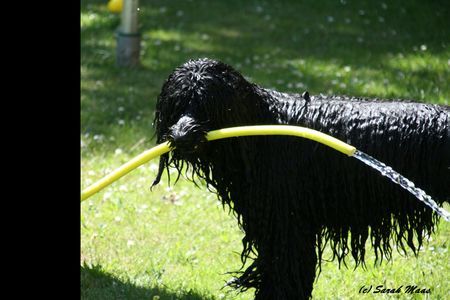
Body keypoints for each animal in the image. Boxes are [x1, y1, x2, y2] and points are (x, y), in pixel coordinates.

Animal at [152, 57, 450, 298]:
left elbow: (286, 272)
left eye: (206, 105)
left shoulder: (288, 224)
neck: (262, 125)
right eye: (176, 104)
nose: (180, 136)